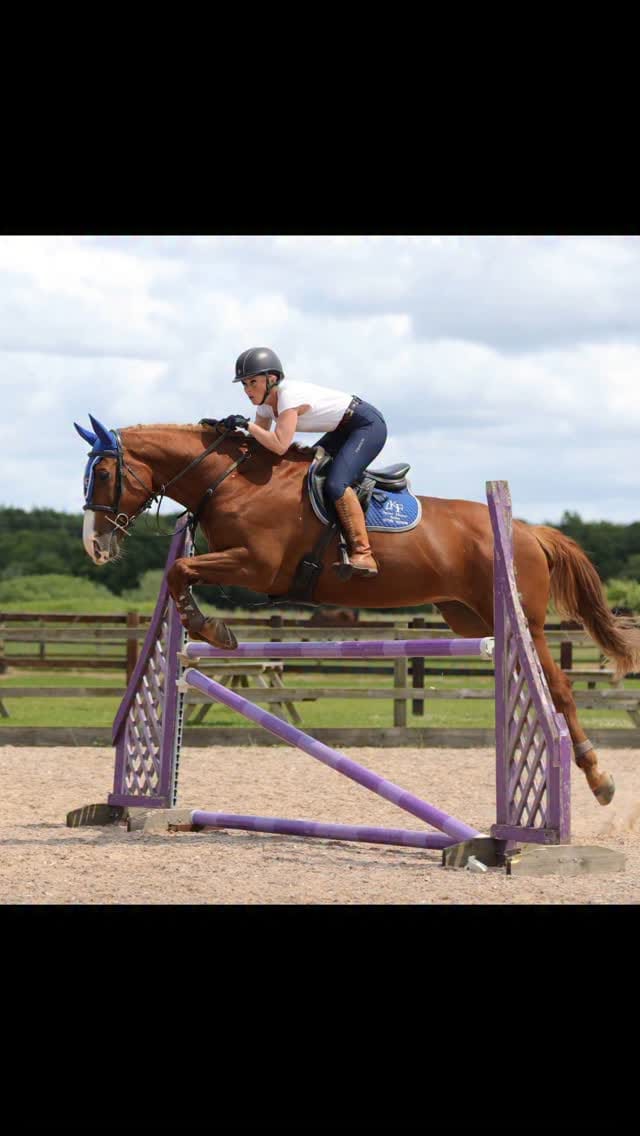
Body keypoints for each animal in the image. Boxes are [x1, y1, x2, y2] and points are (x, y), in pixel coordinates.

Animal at [75, 413, 640, 808]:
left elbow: (180, 570)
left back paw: (599, 778)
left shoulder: (257, 567)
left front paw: (208, 626)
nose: (95, 547)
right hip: (470, 617)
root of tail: (526, 529)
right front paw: (207, 626)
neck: (232, 479)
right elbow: (181, 573)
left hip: (527, 625)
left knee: (559, 691)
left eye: (102, 473)